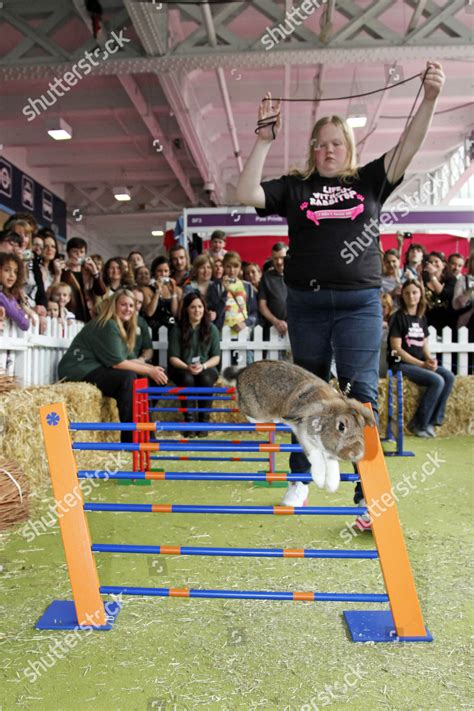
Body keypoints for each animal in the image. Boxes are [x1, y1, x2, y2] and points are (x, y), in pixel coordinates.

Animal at [224, 364, 376, 492]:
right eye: (341, 426)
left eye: (361, 426)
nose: (357, 453)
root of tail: (242, 371)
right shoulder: (304, 436)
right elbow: (315, 456)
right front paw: (320, 480)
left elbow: (331, 463)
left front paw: (332, 484)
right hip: (255, 409)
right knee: (245, 409)